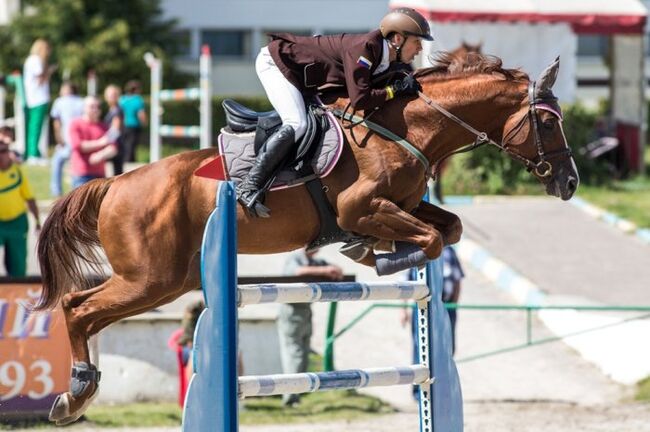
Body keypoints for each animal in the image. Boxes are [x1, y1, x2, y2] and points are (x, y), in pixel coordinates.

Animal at [38, 52, 576, 424]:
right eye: (550, 122)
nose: (569, 184)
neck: (408, 129)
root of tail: (115, 183)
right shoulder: (362, 207)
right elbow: (431, 239)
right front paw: (381, 257)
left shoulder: (402, 205)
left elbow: (449, 228)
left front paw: (378, 252)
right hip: (149, 278)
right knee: (77, 308)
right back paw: (74, 395)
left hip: (165, 282)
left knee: (88, 311)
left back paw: (77, 394)